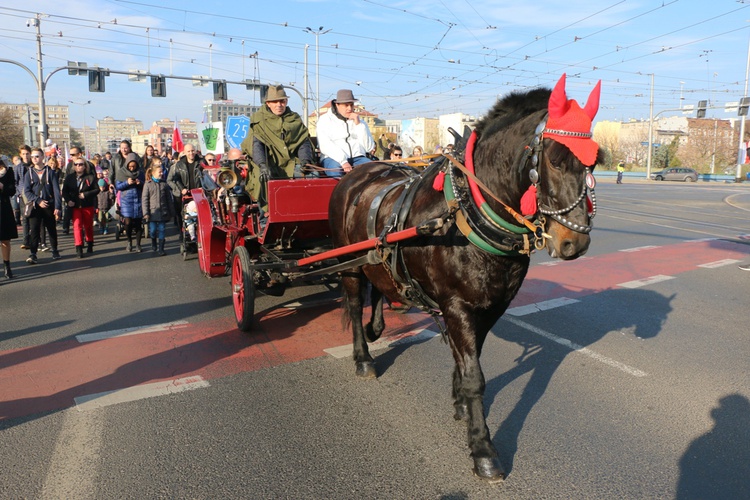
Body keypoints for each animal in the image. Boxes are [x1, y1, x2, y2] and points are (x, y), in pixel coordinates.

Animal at [328, 74, 604, 480]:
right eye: (553, 158)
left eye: (595, 161)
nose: (575, 242)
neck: (466, 210)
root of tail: (359, 173)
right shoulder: (456, 305)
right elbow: (475, 375)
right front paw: (483, 448)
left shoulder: (492, 305)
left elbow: (468, 359)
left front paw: (459, 402)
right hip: (347, 263)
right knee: (352, 300)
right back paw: (363, 357)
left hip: (377, 256)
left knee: (379, 284)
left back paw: (377, 326)